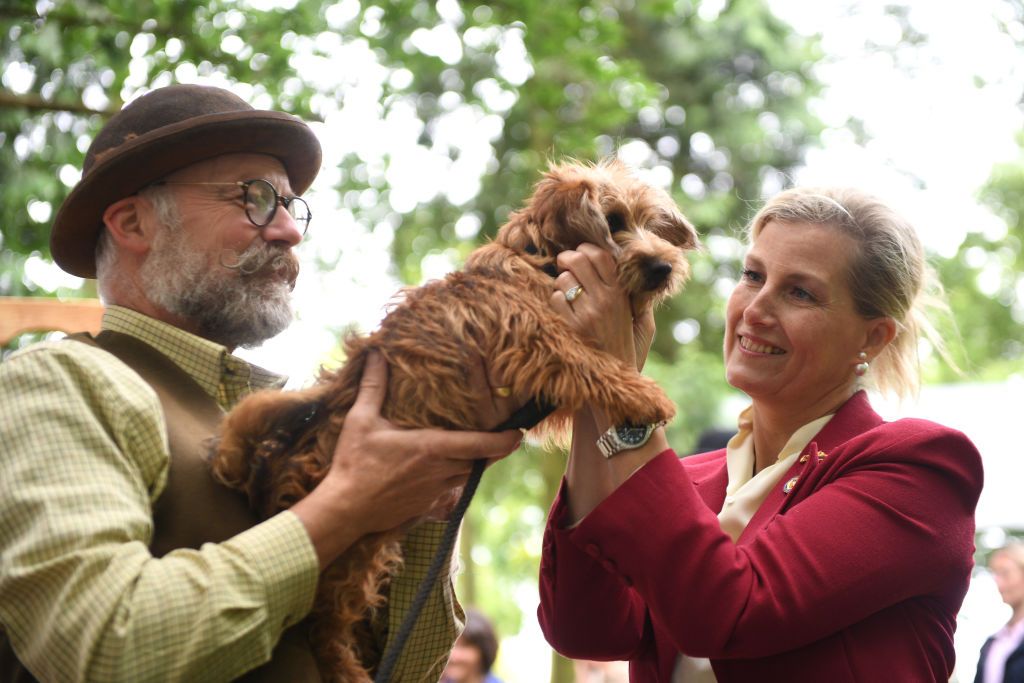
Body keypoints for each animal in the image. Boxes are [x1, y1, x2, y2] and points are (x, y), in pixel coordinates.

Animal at [211, 157, 700, 679]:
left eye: (652, 224)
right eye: (613, 221)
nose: (663, 266)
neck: (538, 258)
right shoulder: (534, 341)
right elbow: (589, 363)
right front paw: (644, 395)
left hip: (370, 545)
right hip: (346, 549)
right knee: (323, 625)